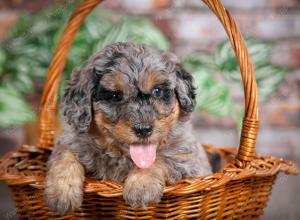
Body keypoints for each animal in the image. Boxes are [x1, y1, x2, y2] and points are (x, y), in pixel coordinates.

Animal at [44, 42, 211, 214]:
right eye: (115, 96)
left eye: (157, 91)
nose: (143, 129)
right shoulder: (71, 140)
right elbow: (65, 156)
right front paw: (62, 193)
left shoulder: (187, 159)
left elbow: (161, 158)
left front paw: (141, 186)